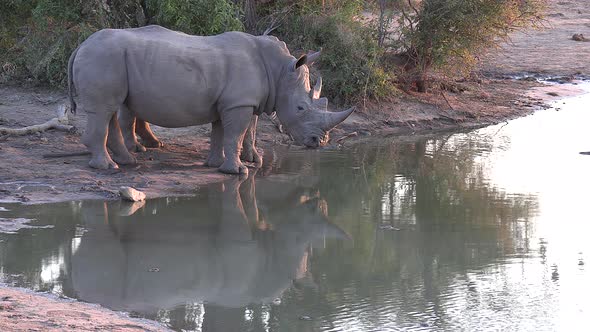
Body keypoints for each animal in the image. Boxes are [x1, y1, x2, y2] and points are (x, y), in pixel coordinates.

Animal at [67, 25, 354, 175]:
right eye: (300, 108)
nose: (319, 142)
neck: (279, 71)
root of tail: (80, 46)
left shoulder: (230, 102)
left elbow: (222, 133)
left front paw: (216, 164)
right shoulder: (239, 103)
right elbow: (236, 134)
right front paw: (238, 170)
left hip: (110, 60)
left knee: (109, 110)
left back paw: (127, 162)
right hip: (103, 57)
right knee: (104, 110)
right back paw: (108, 167)